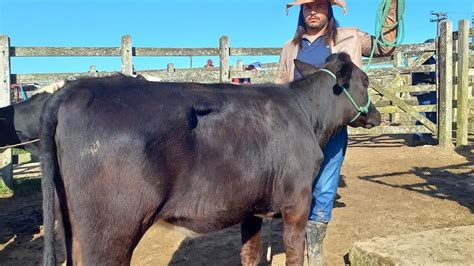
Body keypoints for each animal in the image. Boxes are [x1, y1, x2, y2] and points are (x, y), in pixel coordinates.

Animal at [41, 52, 382, 266]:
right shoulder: (296, 201)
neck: (306, 114)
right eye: (365, 81)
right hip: (112, 230)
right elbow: (294, 254)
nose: (377, 115)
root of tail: (70, 91)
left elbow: (250, 254)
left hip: (70, 225)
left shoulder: (250, 206)